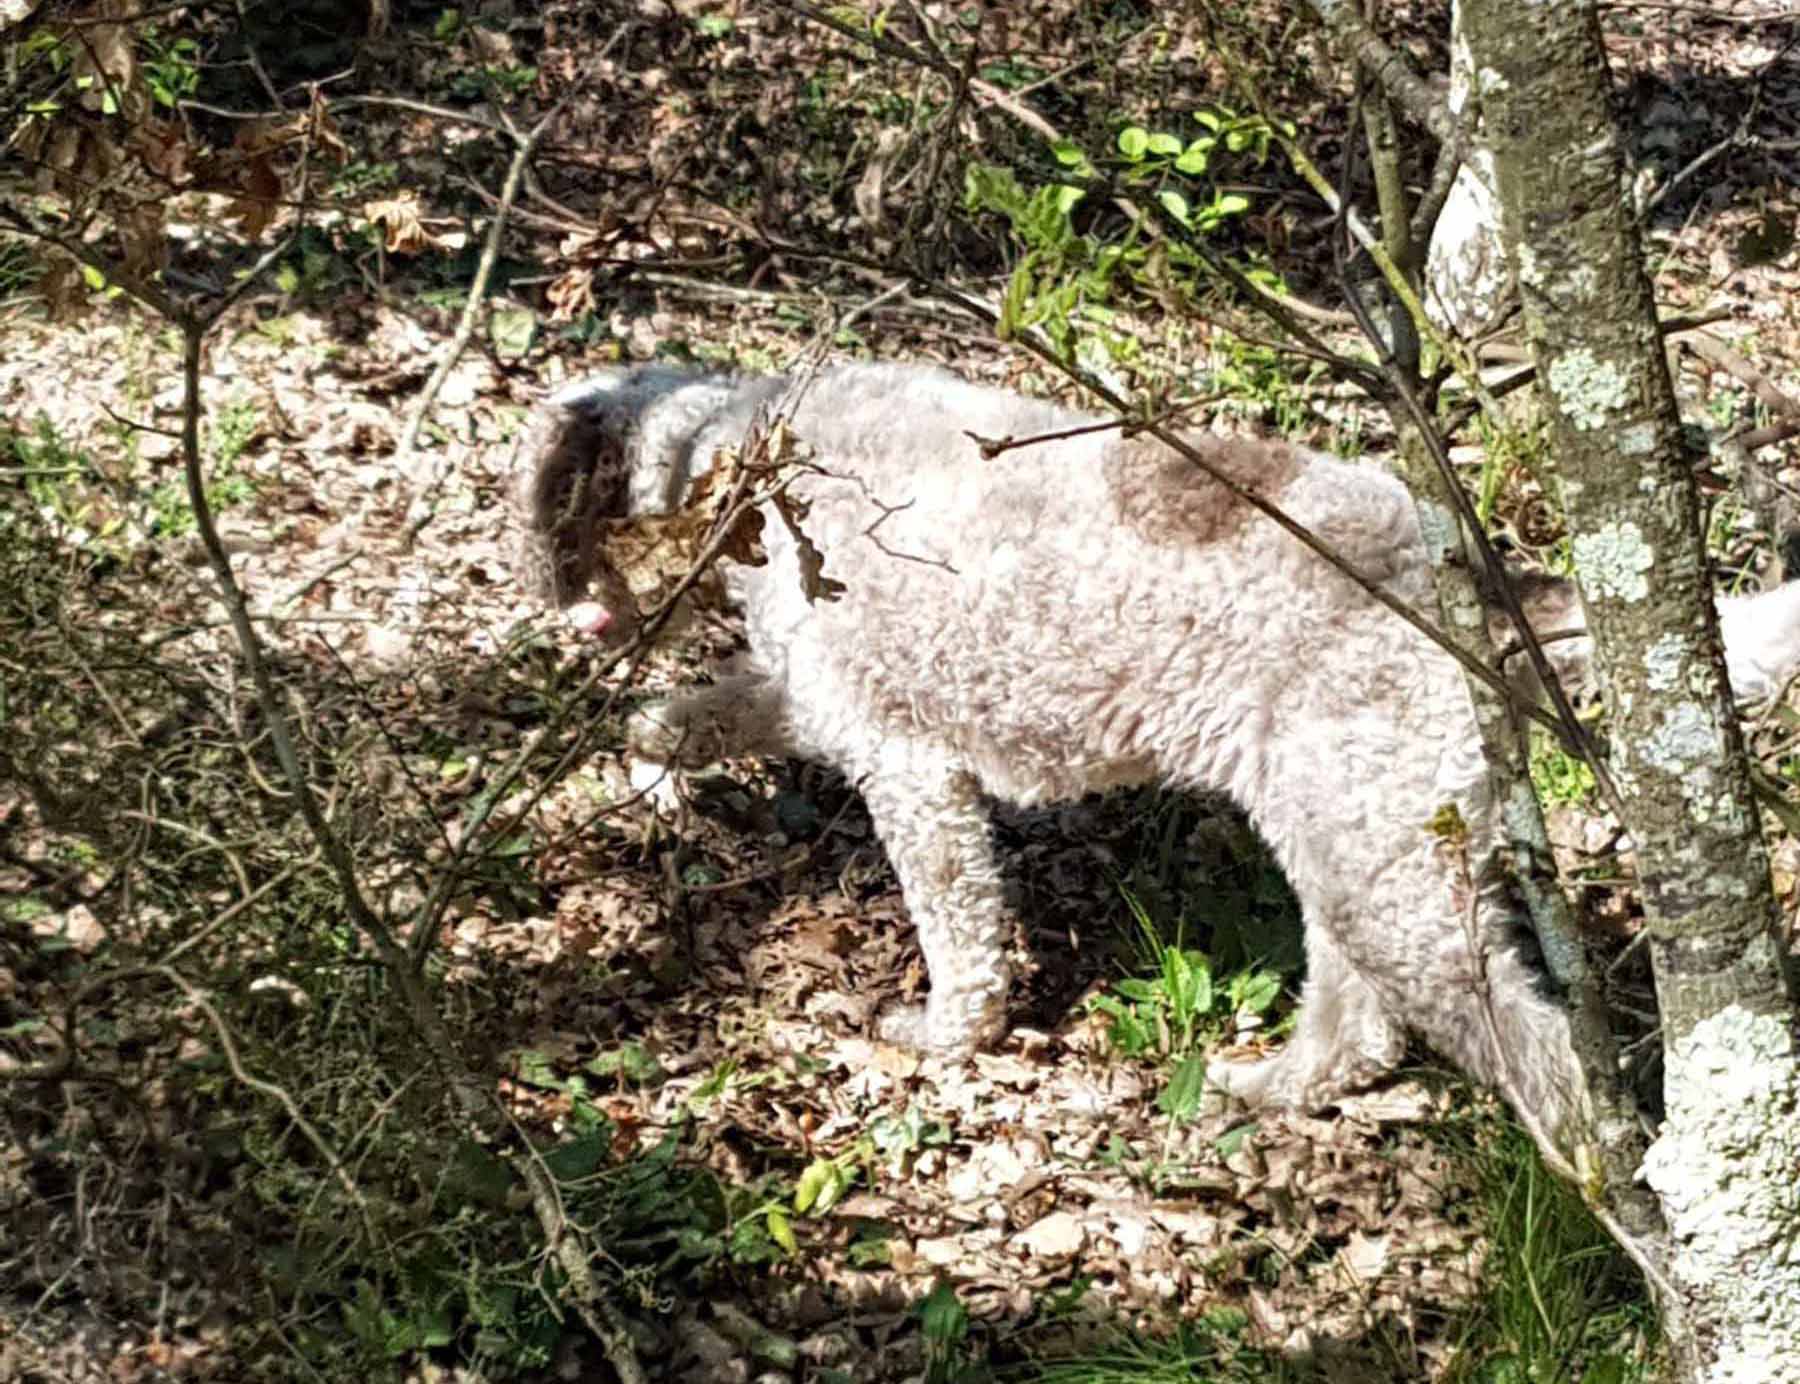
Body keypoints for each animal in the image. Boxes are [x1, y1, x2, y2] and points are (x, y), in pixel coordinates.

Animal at [511, 359, 1800, 1137]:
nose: (571, 618)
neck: (749, 448)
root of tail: (1484, 592)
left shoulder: (906, 765)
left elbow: (961, 940)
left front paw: (945, 1042)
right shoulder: (807, 698)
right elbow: (670, 715)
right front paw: (653, 775)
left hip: (1389, 877)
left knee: (1553, 1073)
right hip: (1357, 840)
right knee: (1358, 1029)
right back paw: (1271, 1085)